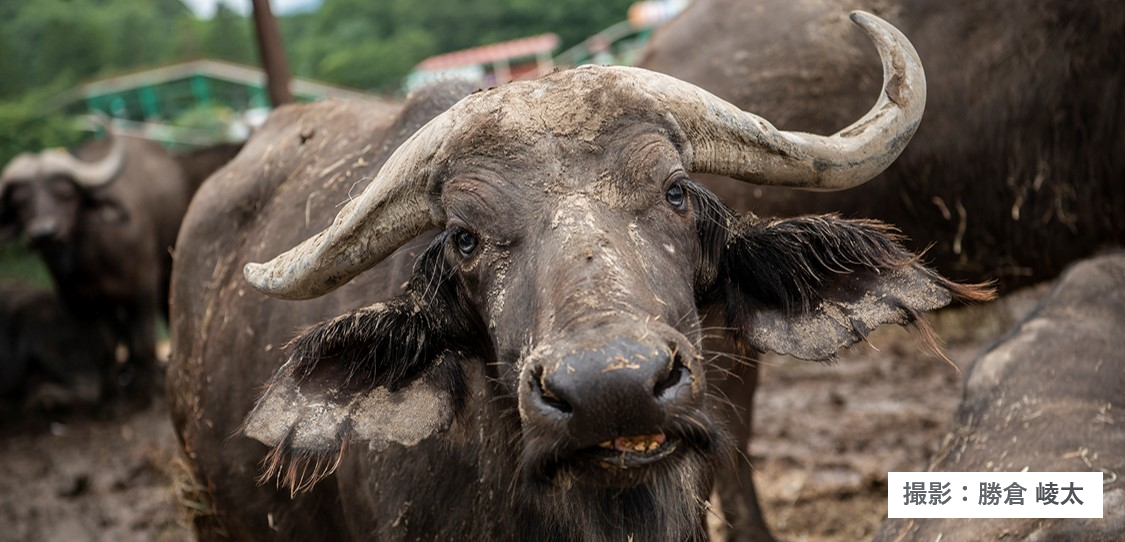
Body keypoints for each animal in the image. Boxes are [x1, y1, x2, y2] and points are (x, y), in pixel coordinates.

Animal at [0, 123, 191, 402]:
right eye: (20, 202)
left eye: (66, 194)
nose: (45, 234)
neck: (91, 260)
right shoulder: (78, 302)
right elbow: (102, 349)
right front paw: (111, 399)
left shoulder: (142, 287)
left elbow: (143, 342)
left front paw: (146, 395)